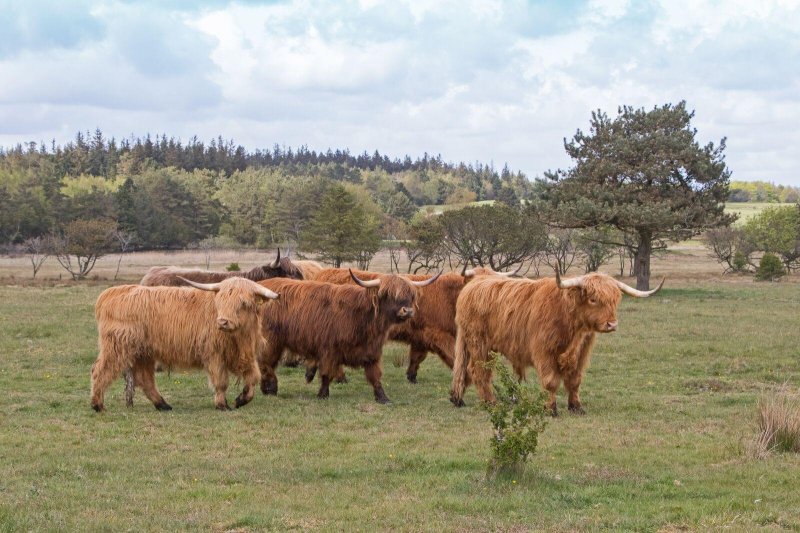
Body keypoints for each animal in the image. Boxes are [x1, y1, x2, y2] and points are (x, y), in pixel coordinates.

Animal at [260, 272, 440, 402]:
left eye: (410, 295)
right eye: (388, 294)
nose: (407, 311)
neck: (362, 317)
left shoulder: (372, 350)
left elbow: (375, 375)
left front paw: (382, 397)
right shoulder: (329, 350)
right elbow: (327, 374)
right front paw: (322, 395)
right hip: (271, 341)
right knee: (266, 364)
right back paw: (271, 388)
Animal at [450, 272, 664, 414]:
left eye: (615, 300)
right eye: (593, 299)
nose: (612, 324)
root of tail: (474, 283)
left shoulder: (581, 352)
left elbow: (575, 380)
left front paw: (576, 407)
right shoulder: (543, 351)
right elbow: (551, 381)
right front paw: (550, 408)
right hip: (479, 344)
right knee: (478, 371)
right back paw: (490, 403)